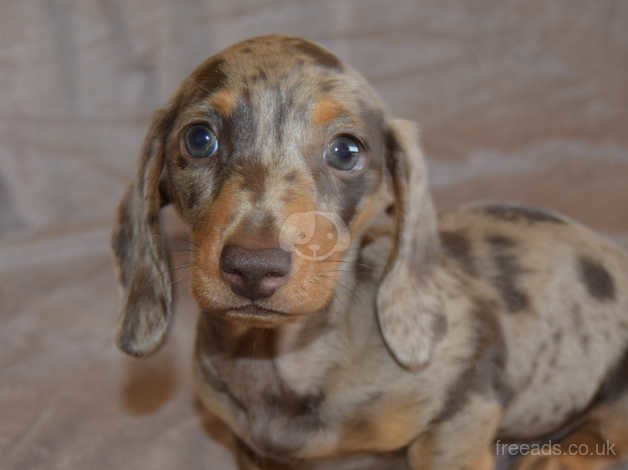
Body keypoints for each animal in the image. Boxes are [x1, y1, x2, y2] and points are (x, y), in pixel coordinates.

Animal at [111, 36, 628, 470]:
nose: (253, 268)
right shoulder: (252, 451)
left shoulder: (463, 411)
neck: (281, 361)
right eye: (199, 139)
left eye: (345, 150)